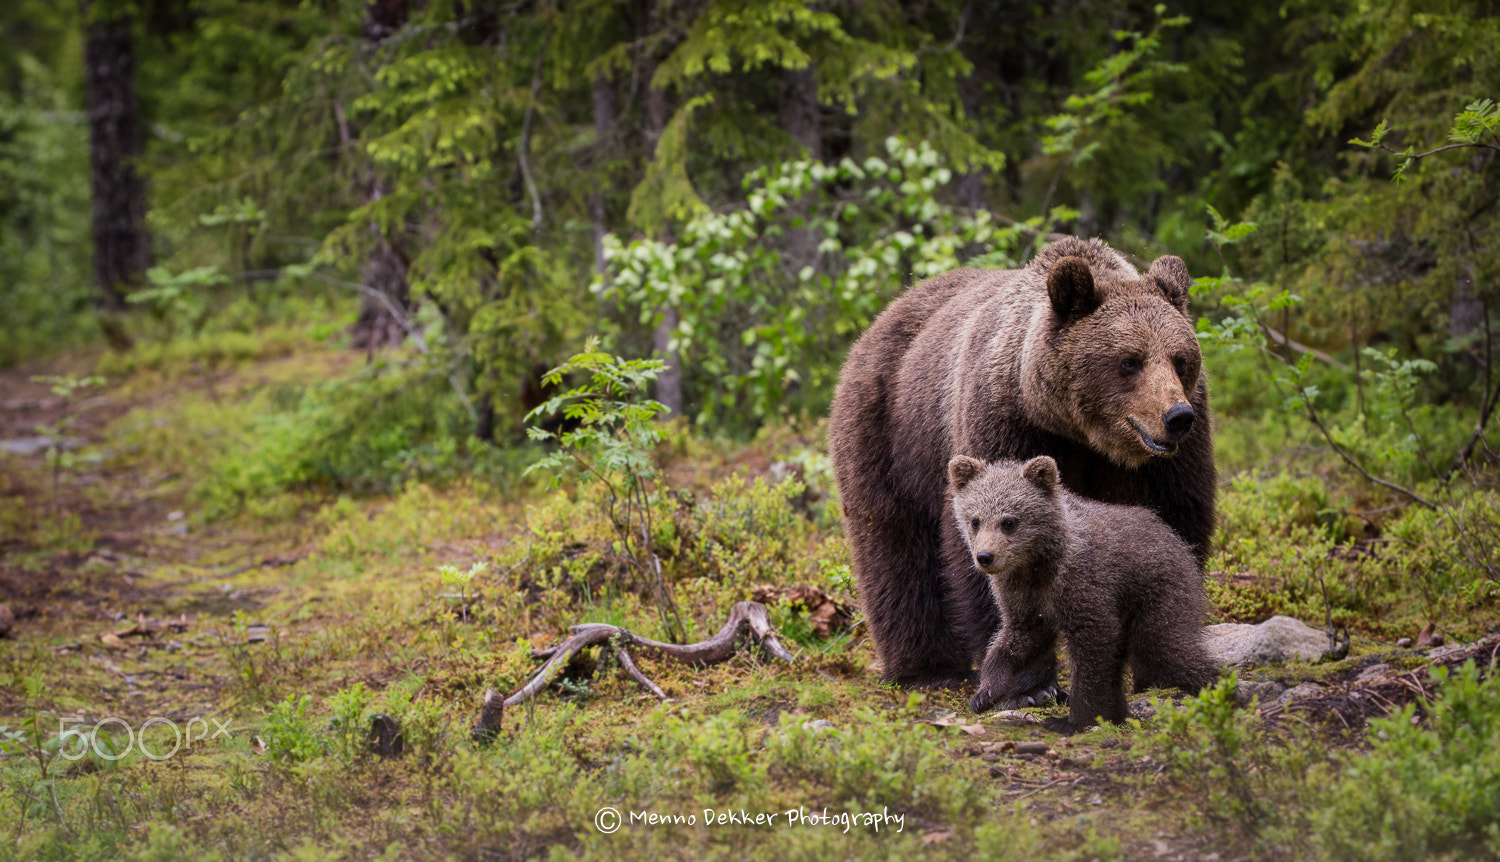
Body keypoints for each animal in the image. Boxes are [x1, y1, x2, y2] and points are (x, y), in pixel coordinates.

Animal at [828, 237, 1215, 692]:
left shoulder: (1166, 461)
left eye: (1180, 359)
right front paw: (1028, 683)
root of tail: (883, 316)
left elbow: (1173, 523)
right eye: (1129, 361)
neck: (1076, 431)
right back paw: (927, 669)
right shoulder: (1002, 420)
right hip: (890, 432)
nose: (1176, 417)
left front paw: (1158, 664)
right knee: (894, 543)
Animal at [949, 454, 1220, 729]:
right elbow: (1018, 638)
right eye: (975, 521)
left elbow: (1093, 648)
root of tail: (1176, 539)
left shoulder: (1084, 583)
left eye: (1009, 522)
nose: (985, 556)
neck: (1037, 564)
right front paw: (986, 693)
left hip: (1158, 591)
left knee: (1166, 645)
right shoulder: (1021, 595)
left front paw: (1075, 719)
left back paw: (1219, 689)